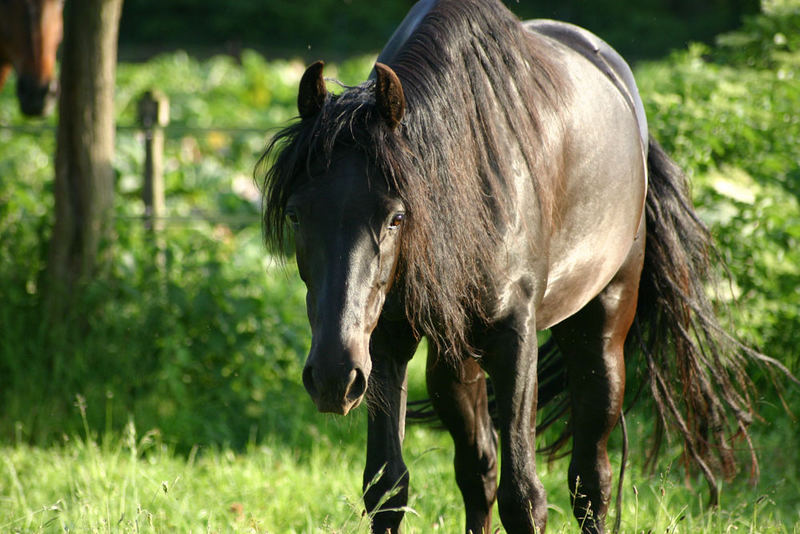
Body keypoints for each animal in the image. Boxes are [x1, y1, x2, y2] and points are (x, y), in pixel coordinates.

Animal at [260, 1, 764, 534]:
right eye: (295, 214)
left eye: (396, 216)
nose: (332, 377)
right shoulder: (385, 339)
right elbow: (387, 487)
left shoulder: (514, 336)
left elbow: (524, 497)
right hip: (454, 360)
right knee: (477, 469)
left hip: (601, 331)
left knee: (591, 479)